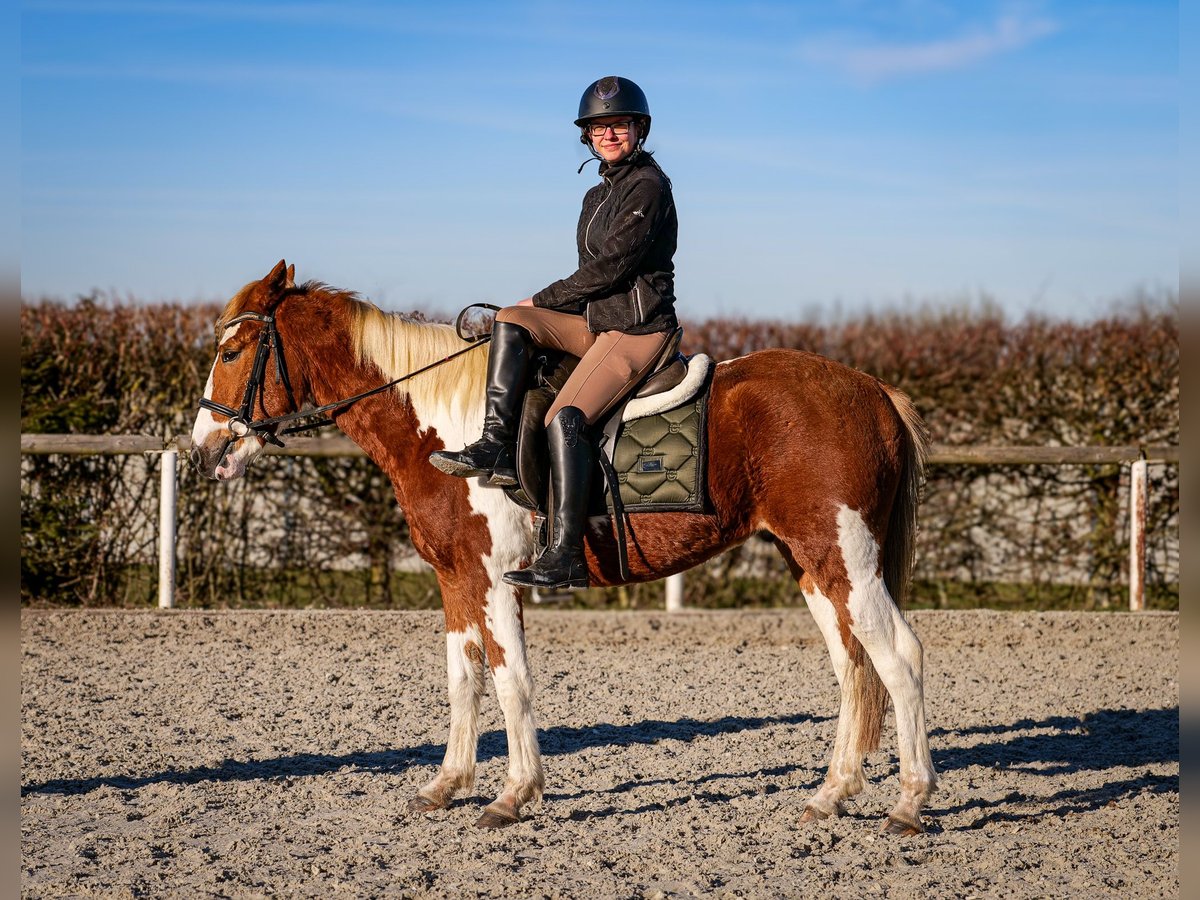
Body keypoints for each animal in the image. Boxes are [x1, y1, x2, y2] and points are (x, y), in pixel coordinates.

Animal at [187, 262, 936, 840]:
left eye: (233, 352)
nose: (205, 450)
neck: (449, 428)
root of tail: (872, 390)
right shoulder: (456, 581)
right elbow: (464, 678)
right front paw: (447, 784)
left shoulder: (497, 579)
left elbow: (511, 680)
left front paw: (512, 796)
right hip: (814, 565)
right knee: (853, 666)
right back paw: (831, 795)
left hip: (847, 559)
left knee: (898, 657)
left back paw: (908, 803)